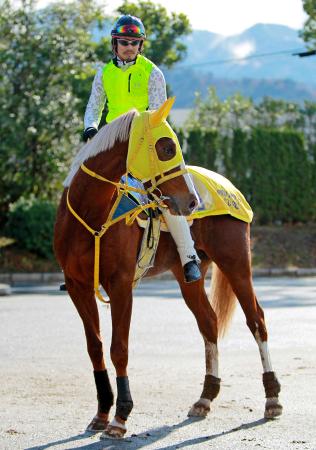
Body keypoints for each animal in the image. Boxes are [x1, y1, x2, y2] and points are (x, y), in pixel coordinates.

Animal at [53, 98, 282, 440]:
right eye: (166, 147)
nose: (192, 201)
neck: (91, 214)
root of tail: (227, 185)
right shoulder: (77, 286)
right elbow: (95, 347)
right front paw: (102, 412)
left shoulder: (121, 286)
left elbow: (119, 348)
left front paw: (121, 417)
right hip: (189, 278)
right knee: (209, 323)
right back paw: (205, 397)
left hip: (237, 265)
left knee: (257, 321)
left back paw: (272, 398)